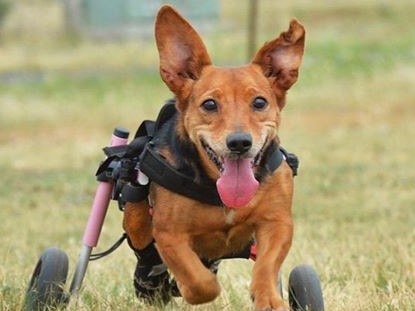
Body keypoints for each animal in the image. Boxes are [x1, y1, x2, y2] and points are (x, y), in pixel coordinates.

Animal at [122, 4, 308, 311]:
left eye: (259, 102)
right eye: (209, 104)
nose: (240, 142)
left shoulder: (278, 223)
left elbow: (266, 265)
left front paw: (268, 297)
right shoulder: (169, 234)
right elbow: (199, 282)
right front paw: (189, 288)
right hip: (136, 217)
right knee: (146, 254)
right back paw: (152, 283)